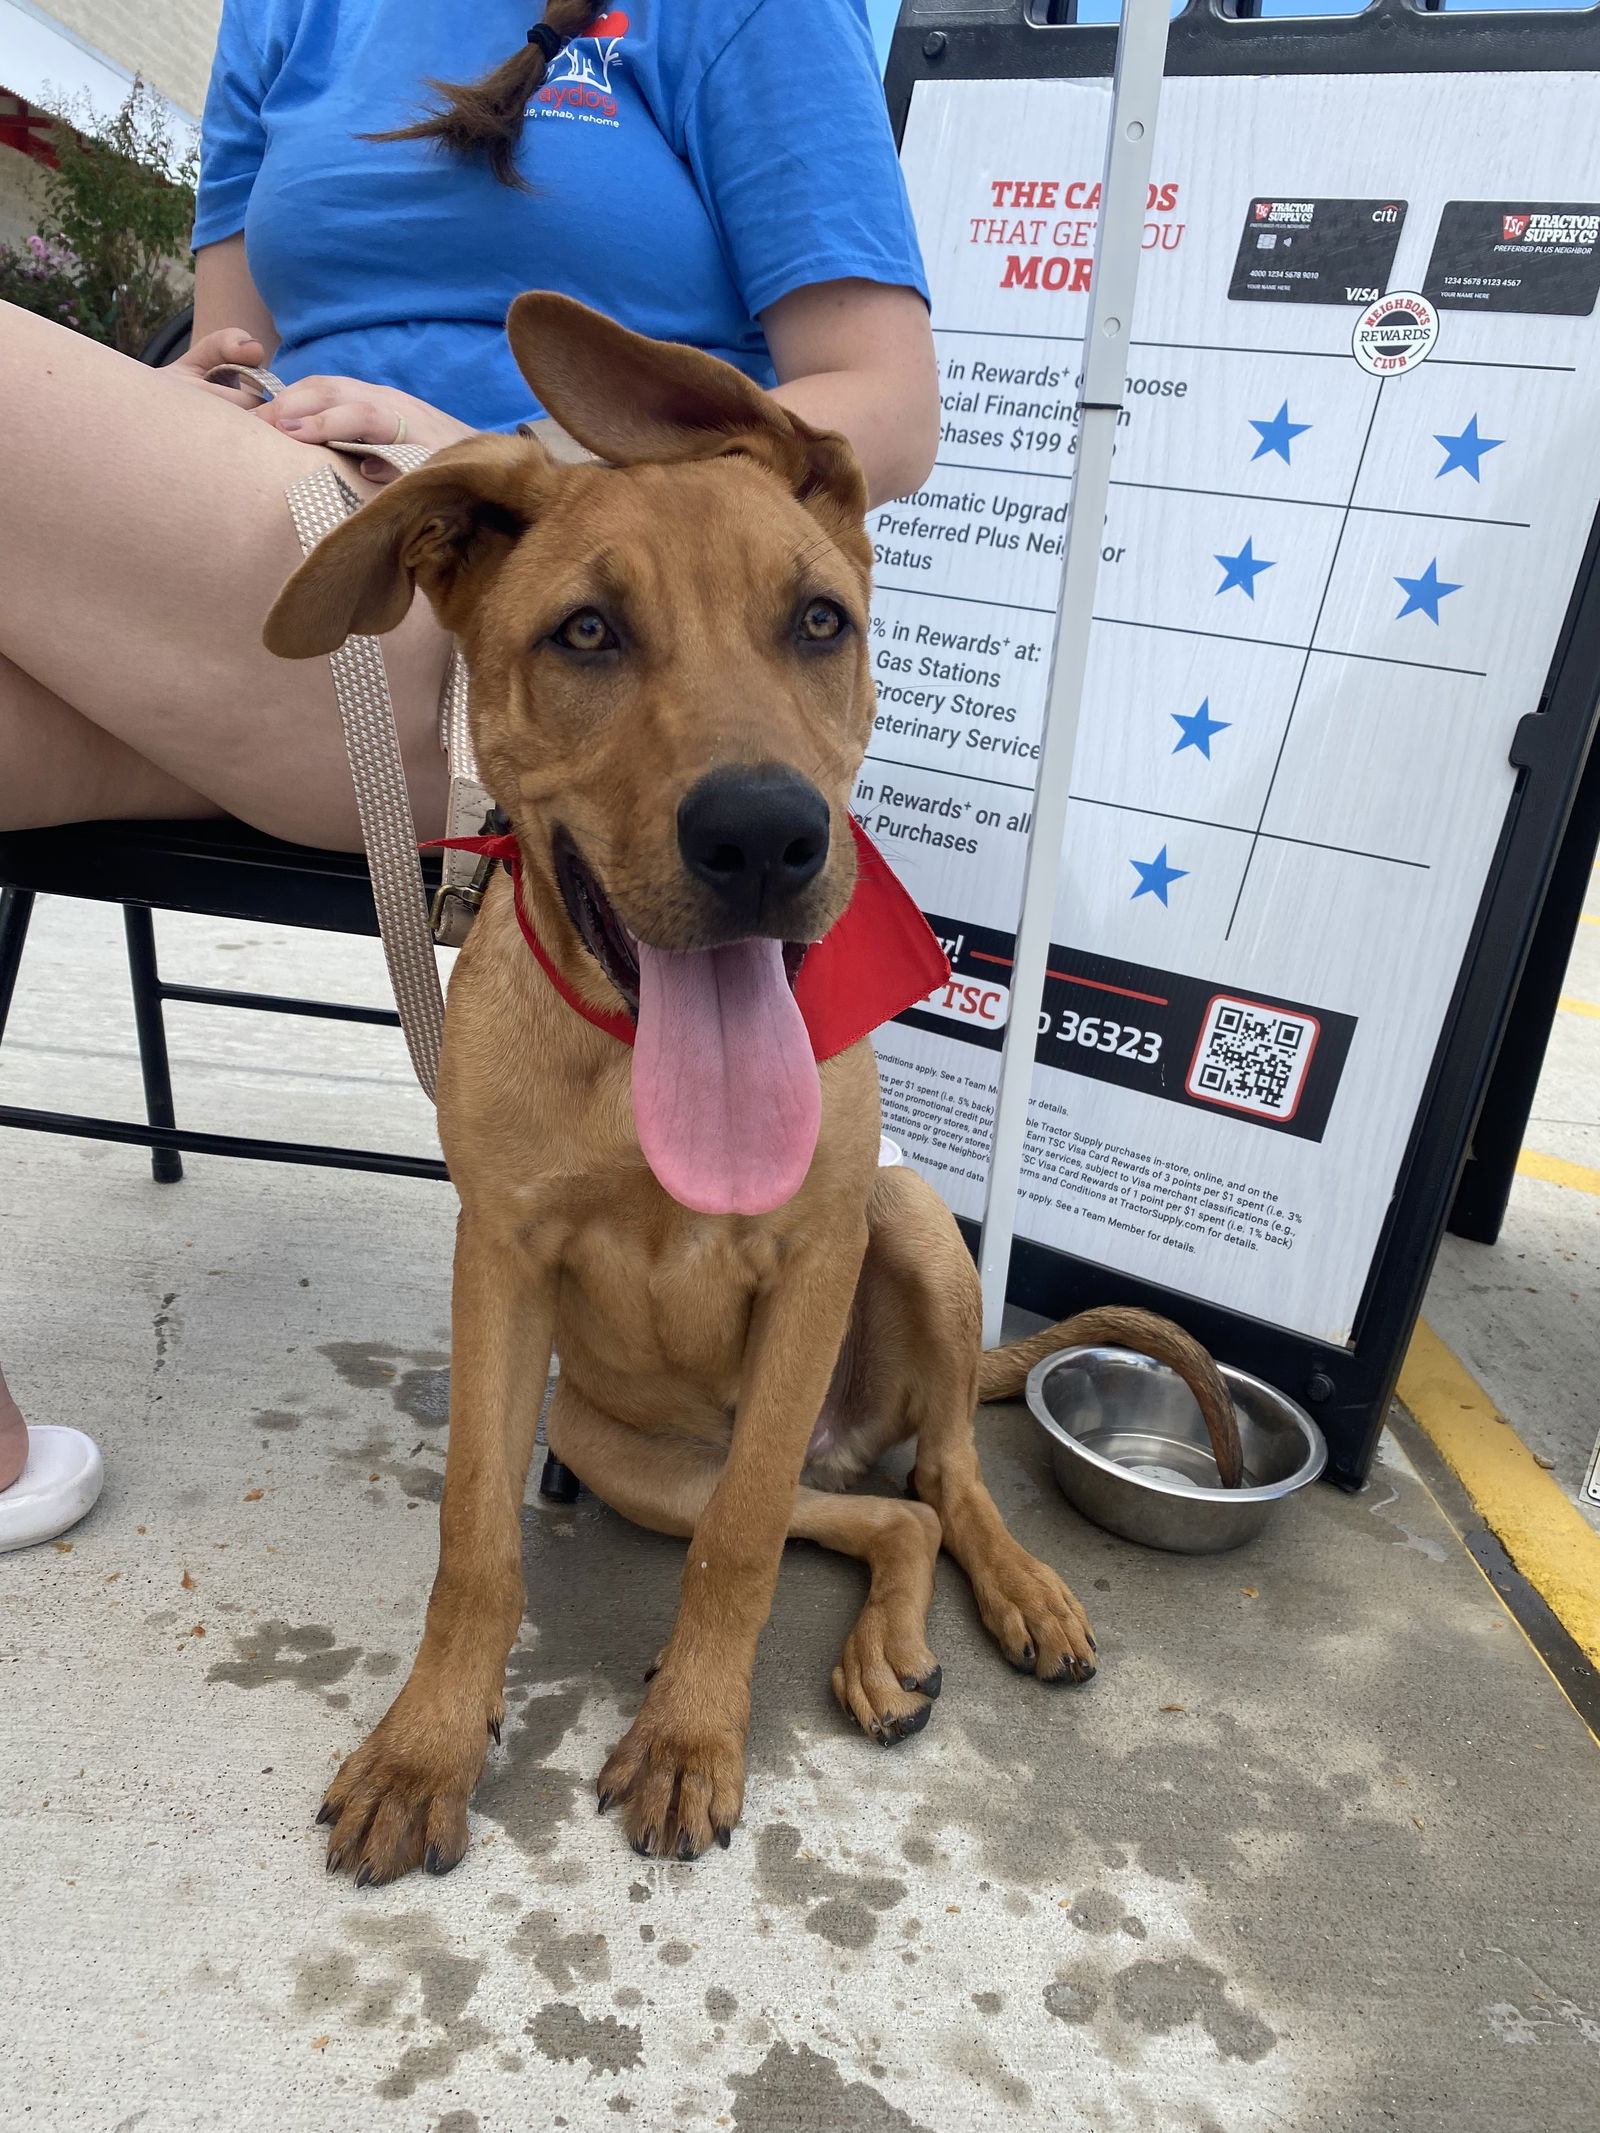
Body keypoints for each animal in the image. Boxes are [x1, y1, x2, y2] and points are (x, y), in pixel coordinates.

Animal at [266, 296, 1237, 1885]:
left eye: (819, 621)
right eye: (587, 632)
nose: (765, 837)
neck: (631, 1068)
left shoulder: (817, 1252)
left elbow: (735, 1550)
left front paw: (688, 1740)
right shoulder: (500, 1261)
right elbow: (479, 1541)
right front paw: (427, 1745)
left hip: (910, 1225)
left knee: (932, 1474)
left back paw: (1018, 1590)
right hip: (611, 1444)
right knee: (866, 1514)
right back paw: (886, 1651)